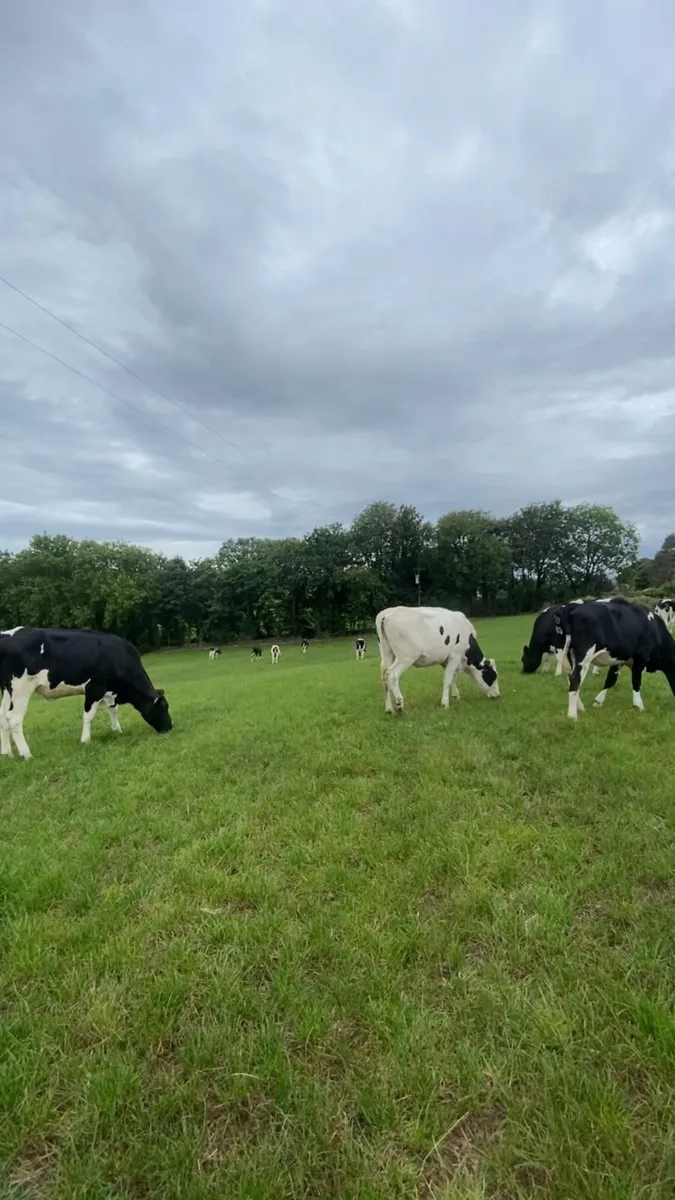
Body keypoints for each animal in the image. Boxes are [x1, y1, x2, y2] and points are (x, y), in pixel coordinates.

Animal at [0, 626, 172, 760]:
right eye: (163, 708)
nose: (170, 727)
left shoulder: (109, 691)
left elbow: (113, 710)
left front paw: (117, 730)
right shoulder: (95, 688)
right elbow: (88, 716)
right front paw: (85, 740)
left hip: (8, 691)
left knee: (3, 716)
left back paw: (7, 753)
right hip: (21, 689)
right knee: (14, 718)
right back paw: (26, 754)